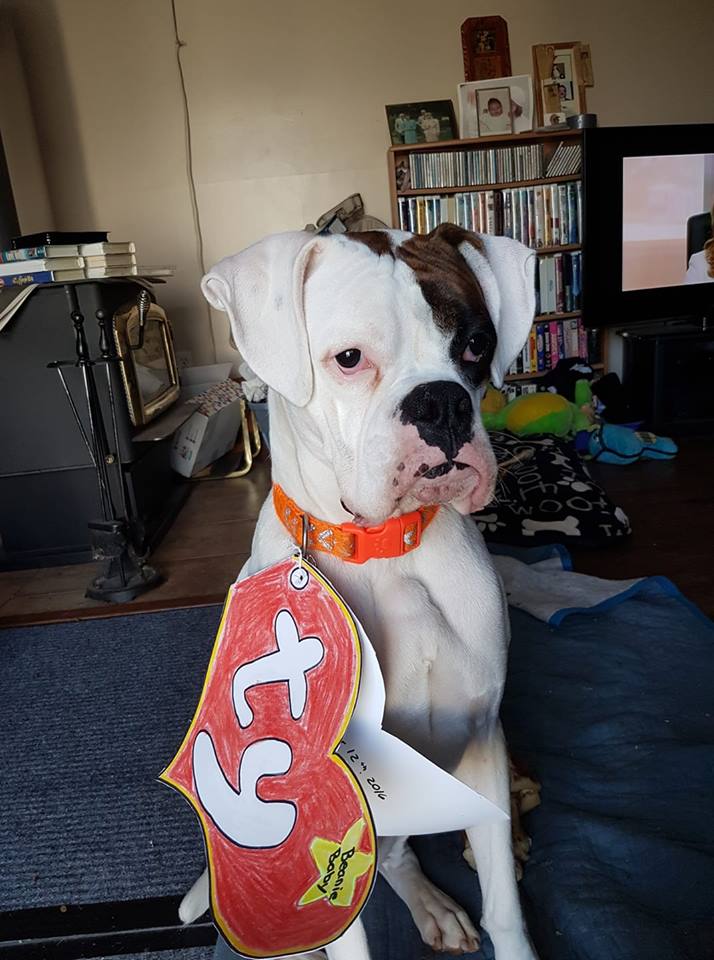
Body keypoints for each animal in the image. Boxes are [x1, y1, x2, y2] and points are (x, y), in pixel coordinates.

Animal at [181, 227, 536, 960]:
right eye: (349, 359)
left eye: (476, 345)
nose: (441, 403)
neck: (387, 553)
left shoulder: (484, 744)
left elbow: (506, 909)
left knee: (398, 855)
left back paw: (433, 906)